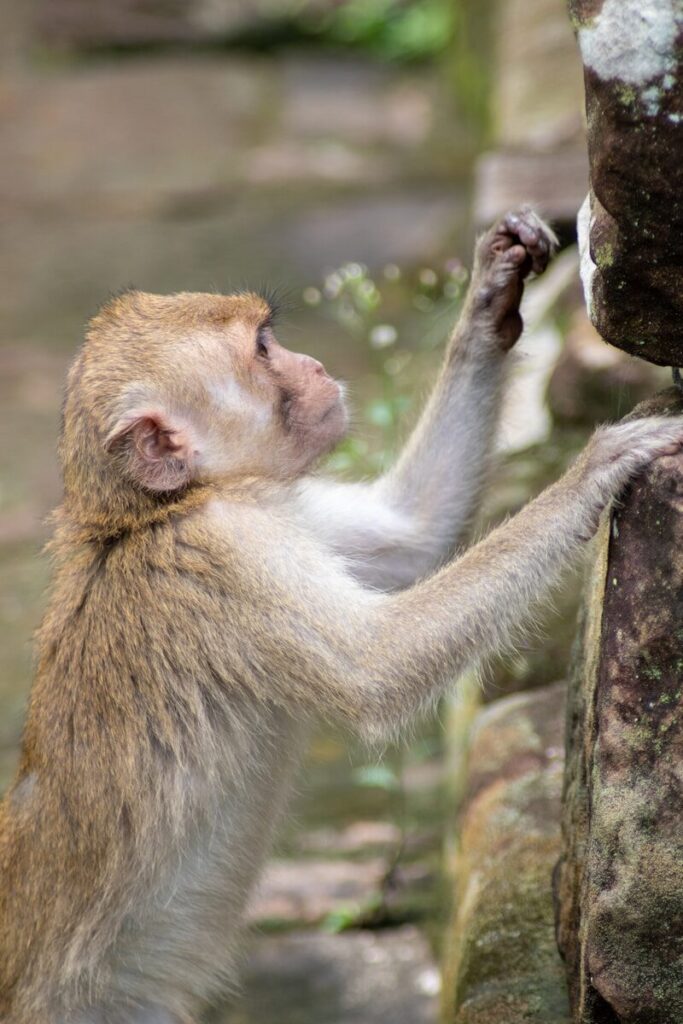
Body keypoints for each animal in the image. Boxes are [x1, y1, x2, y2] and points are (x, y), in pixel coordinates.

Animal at [1, 208, 682, 1024]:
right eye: (263, 349)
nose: (316, 366)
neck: (152, 512)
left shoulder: (274, 514)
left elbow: (412, 533)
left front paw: (491, 294)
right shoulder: (232, 557)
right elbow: (377, 668)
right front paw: (593, 468)